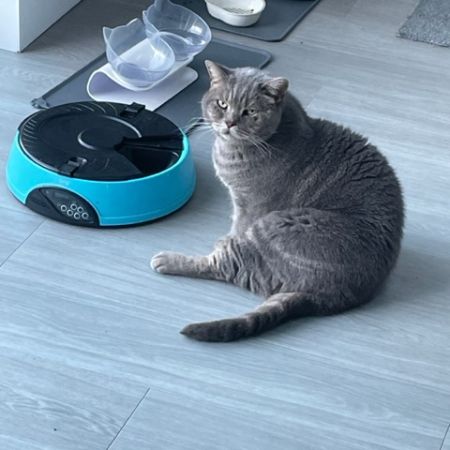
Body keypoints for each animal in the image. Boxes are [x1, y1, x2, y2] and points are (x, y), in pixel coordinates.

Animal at [151, 60, 404, 342]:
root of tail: (327, 297)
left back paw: (169, 259)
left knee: (228, 268)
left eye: (250, 111)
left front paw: (227, 239)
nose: (229, 122)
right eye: (222, 104)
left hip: (274, 225)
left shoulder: (249, 207)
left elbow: (237, 228)